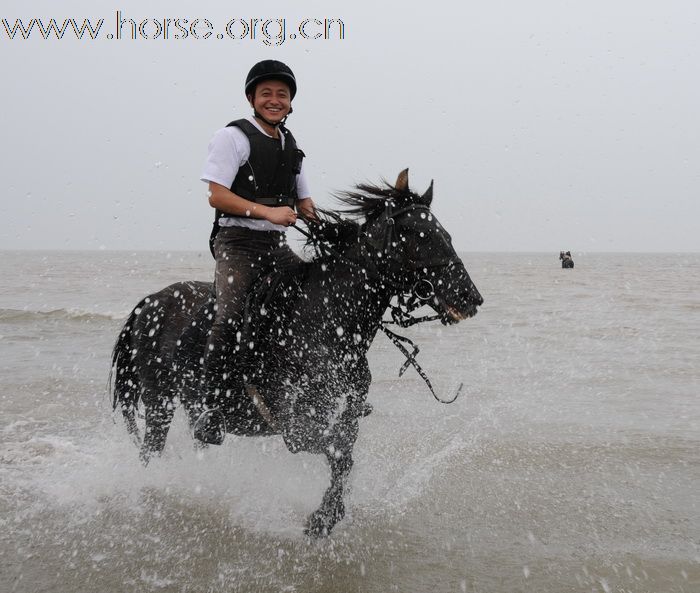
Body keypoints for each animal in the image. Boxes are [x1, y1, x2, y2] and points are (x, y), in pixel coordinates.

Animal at [110, 170, 482, 536]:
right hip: (159, 402)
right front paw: (323, 518)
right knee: (150, 452)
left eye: (446, 234)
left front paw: (328, 512)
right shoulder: (295, 426)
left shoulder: (341, 413)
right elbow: (339, 454)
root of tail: (149, 302)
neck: (328, 321)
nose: (472, 298)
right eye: (421, 236)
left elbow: (344, 453)